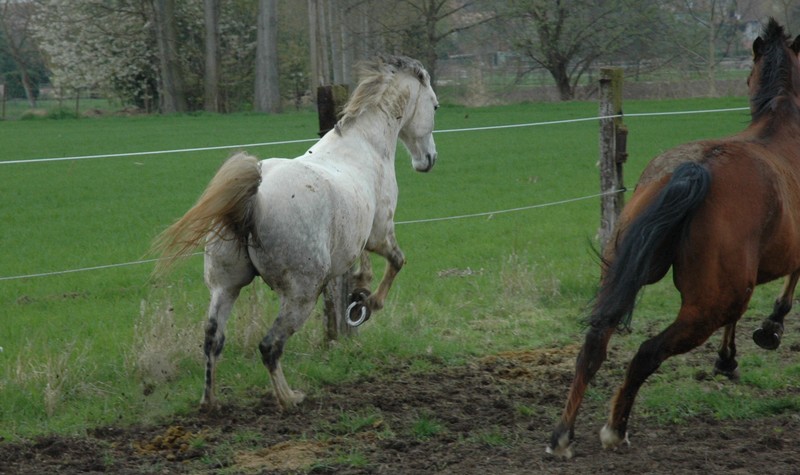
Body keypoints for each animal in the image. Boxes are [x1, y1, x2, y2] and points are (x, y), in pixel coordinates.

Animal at [153, 55, 440, 410]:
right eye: (435, 106)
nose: (429, 160)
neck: (365, 145)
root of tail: (254, 199)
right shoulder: (380, 231)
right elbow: (397, 261)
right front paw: (370, 302)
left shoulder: (357, 236)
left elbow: (363, 263)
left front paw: (361, 289)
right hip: (301, 294)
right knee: (269, 346)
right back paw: (289, 398)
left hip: (225, 286)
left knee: (212, 341)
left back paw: (211, 402)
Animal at [548, 16, 800, 460]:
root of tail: (695, 169)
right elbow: (788, 288)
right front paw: (768, 330)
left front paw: (730, 357)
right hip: (707, 306)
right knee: (647, 352)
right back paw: (615, 429)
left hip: (624, 274)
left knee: (594, 342)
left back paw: (562, 435)